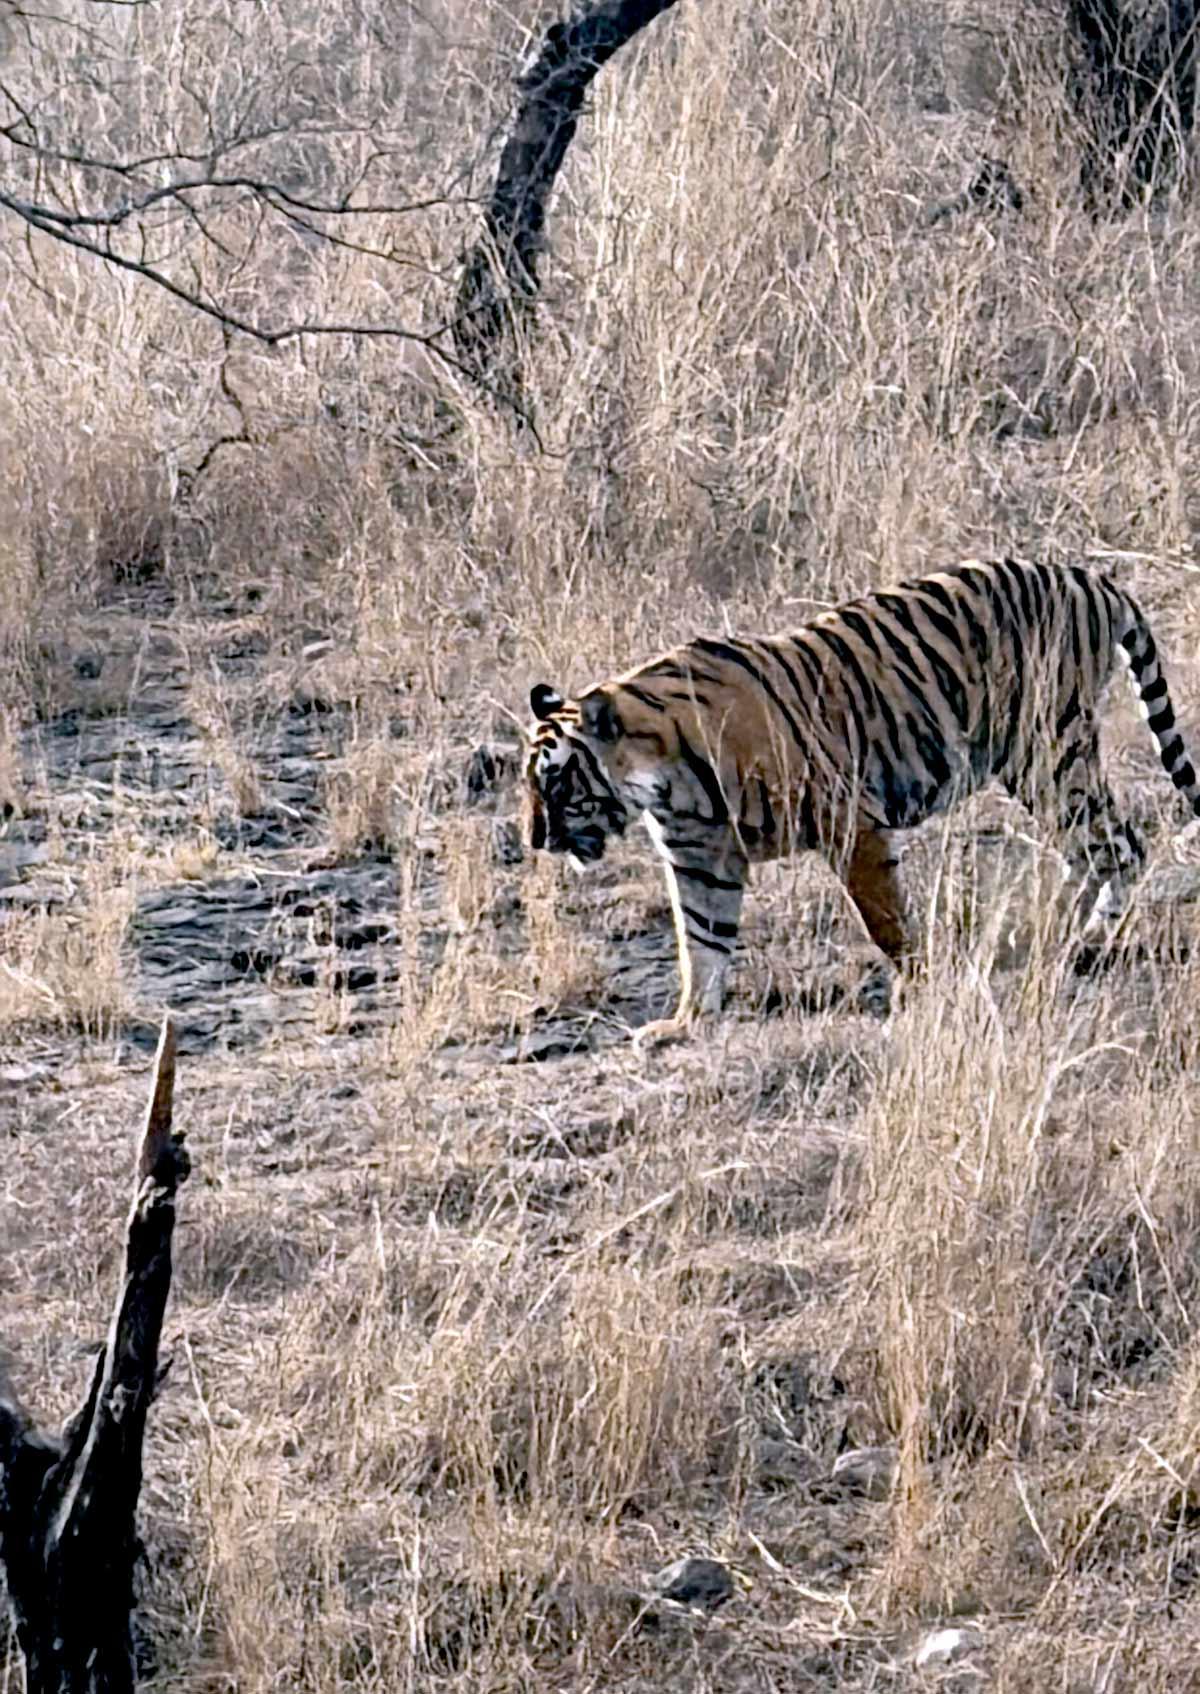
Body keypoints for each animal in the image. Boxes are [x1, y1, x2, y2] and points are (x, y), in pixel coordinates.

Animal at [525, 558, 1200, 1046]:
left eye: (556, 782)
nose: (535, 840)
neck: (667, 780)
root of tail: (1089, 577)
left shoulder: (850, 825)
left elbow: (886, 923)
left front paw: (917, 991)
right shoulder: (699, 860)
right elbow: (702, 942)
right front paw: (686, 1023)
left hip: (1048, 753)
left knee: (1117, 844)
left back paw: (1077, 941)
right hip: (1042, 763)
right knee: (1095, 850)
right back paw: (1047, 938)